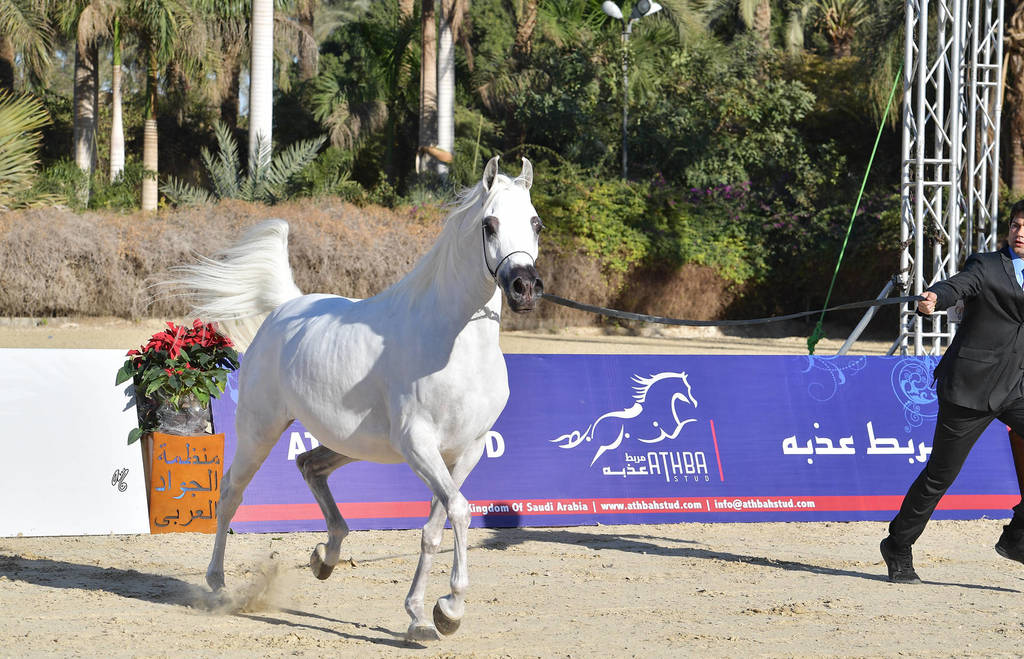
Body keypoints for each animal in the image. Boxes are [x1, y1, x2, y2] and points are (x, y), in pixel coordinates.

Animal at [165, 156, 544, 641]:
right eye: (489, 225)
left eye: (535, 223)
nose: (524, 287)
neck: (453, 344)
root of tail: (286, 307)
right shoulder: (419, 445)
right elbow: (459, 512)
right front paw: (451, 609)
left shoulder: (466, 451)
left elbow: (434, 527)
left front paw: (423, 617)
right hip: (259, 429)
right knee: (232, 491)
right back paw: (218, 585)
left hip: (353, 443)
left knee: (309, 465)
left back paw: (323, 558)